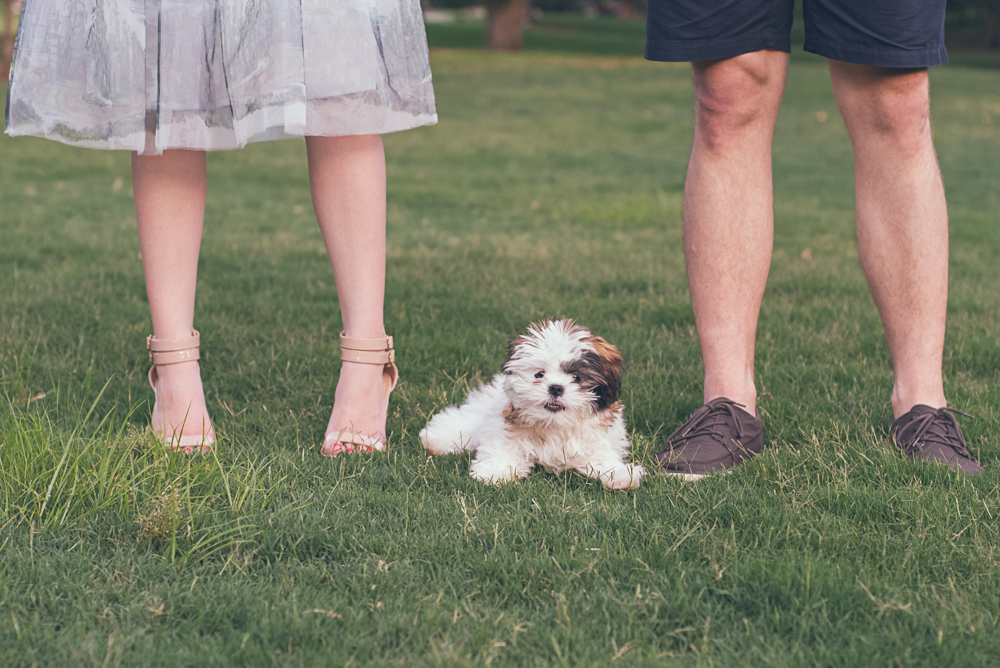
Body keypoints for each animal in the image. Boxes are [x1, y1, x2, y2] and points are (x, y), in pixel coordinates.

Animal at [418, 320, 644, 490]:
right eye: (539, 374)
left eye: (576, 377)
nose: (555, 388)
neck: (554, 424)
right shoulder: (505, 425)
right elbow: (502, 447)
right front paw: (494, 471)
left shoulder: (594, 438)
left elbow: (601, 456)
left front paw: (621, 474)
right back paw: (436, 438)